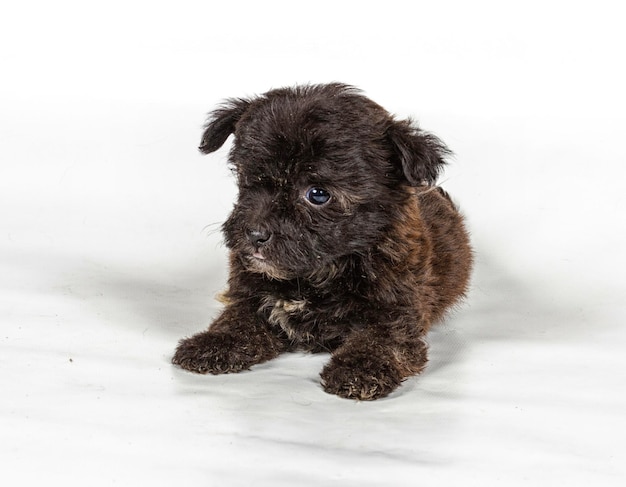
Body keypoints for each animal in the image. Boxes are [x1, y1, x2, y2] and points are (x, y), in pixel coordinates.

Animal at [171, 83, 468, 400]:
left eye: (318, 194)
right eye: (246, 178)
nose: (253, 234)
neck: (316, 274)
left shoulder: (396, 310)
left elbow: (381, 339)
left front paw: (359, 368)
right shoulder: (250, 294)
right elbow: (237, 319)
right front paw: (215, 342)